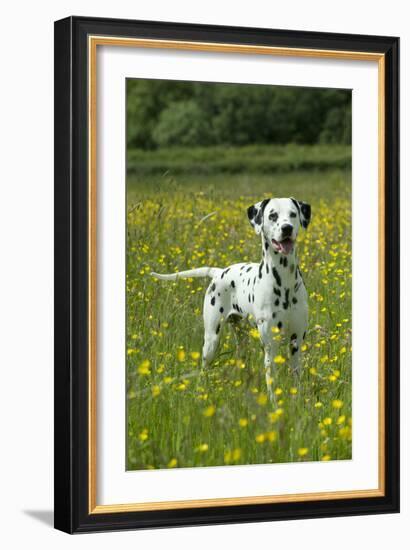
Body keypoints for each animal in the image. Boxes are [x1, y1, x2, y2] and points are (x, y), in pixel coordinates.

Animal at [151, 198, 310, 402]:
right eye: (272, 215)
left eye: (293, 214)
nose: (287, 228)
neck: (285, 282)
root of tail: (219, 272)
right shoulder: (270, 346)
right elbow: (272, 383)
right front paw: (275, 405)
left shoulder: (296, 341)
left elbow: (296, 378)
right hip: (211, 340)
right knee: (204, 369)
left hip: (241, 338)